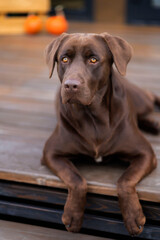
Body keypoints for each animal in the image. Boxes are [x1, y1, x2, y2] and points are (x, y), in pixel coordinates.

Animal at [41, 33, 160, 236]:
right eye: (64, 59)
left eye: (93, 60)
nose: (70, 85)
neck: (93, 116)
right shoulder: (51, 153)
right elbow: (76, 179)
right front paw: (72, 215)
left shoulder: (146, 154)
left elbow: (125, 180)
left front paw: (133, 216)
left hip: (142, 101)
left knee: (150, 98)